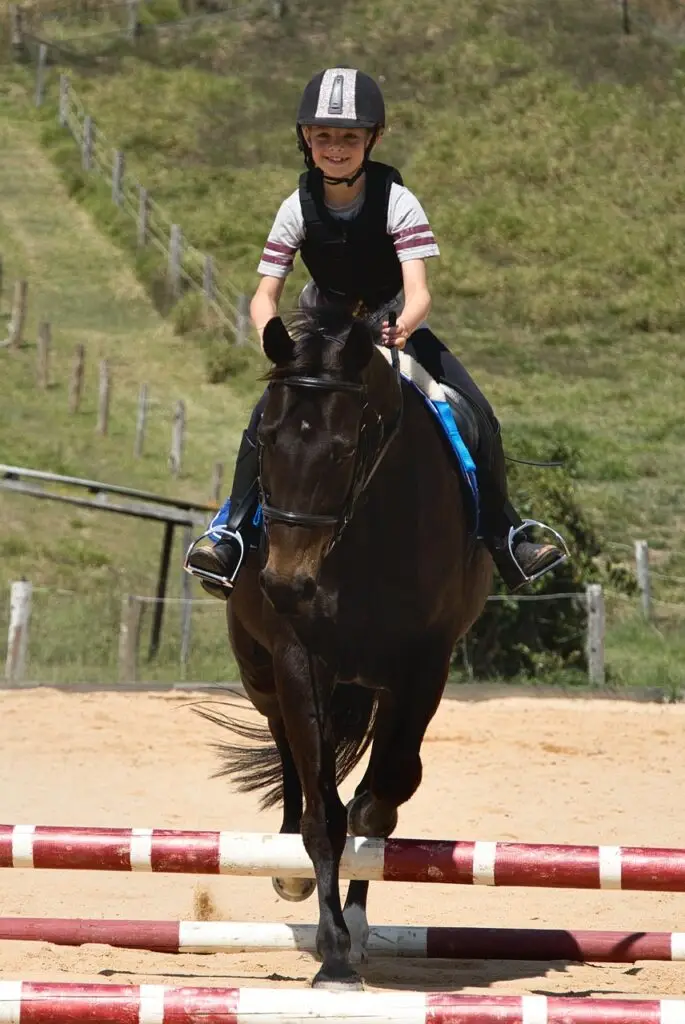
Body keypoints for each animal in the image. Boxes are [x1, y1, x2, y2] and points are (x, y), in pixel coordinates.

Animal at [201, 307, 491, 987]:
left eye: (342, 451)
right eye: (265, 441)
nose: (285, 584)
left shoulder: (422, 667)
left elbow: (383, 796)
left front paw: (351, 922)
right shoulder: (300, 660)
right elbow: (324, 814)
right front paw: (332, 955)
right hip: (263, 675)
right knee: (287, 746)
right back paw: (288, 867)